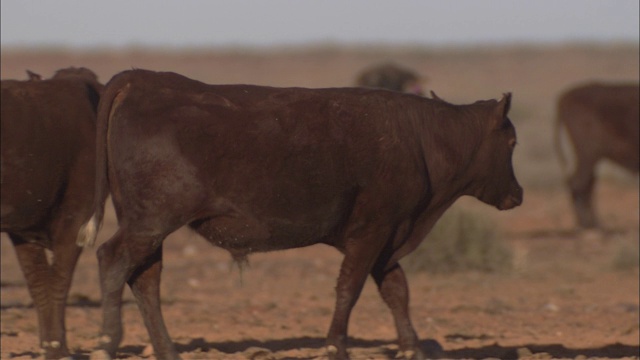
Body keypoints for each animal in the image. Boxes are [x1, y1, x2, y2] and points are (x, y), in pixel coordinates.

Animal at [0, 67, 105, 358]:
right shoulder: (75, 218)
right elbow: (59, 278)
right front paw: (59, 347)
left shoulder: (22, 227)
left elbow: (38, 281)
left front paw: (49, 344)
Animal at [81, 69, 520, 360]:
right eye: (512, 141)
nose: (518, 195)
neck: (421, 140)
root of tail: (144, 79)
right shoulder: (373, 231)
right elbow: (350, 288)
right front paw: (335, 345)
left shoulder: (388, 236)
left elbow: (397, 291)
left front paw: (411, 347)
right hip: (149, 222)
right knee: (112, 259)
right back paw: (106, 342)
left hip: (148, 226)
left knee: (146, 278)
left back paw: (166, 348)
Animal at [552, 82, 636, 228]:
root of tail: (564, 98)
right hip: (587, 154)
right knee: (580, 183)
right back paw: (588, 224)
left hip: (591, 158)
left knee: (587, 183)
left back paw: (593, 223)